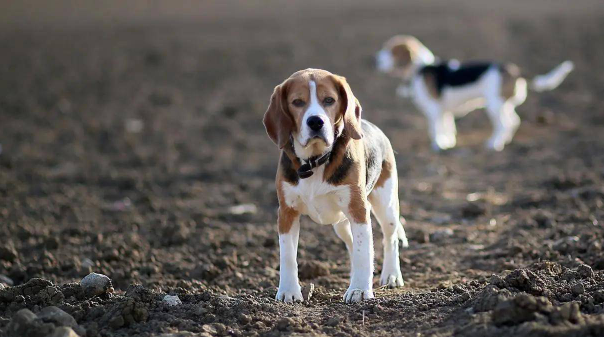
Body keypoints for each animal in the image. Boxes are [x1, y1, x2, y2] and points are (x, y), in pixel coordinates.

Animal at [264, 68, 408, 302]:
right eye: (297, 102)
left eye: (329, 100)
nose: (315, 122)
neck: (315, 160)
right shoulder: (287, 212)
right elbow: (287, 256)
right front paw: (288, 291)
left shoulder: (358, 209)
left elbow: (363, 252)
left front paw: (359, 290)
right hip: (341, 223)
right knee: (352, 243)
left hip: (385, 205)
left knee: (390, 238)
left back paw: (391, 275)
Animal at [376, 34, 572, 150]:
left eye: (391, 50)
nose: (373, 60)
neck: (421, 68)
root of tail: (513, 70)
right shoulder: (444, 111)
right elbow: (448, 127)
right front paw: (449, 143)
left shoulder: (434, 110)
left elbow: (436, 129)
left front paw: (438, 145)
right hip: (503, 105)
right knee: (514, 121)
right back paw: (505, 140)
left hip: (494, 105)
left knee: (504, 124)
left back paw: (494, 144)